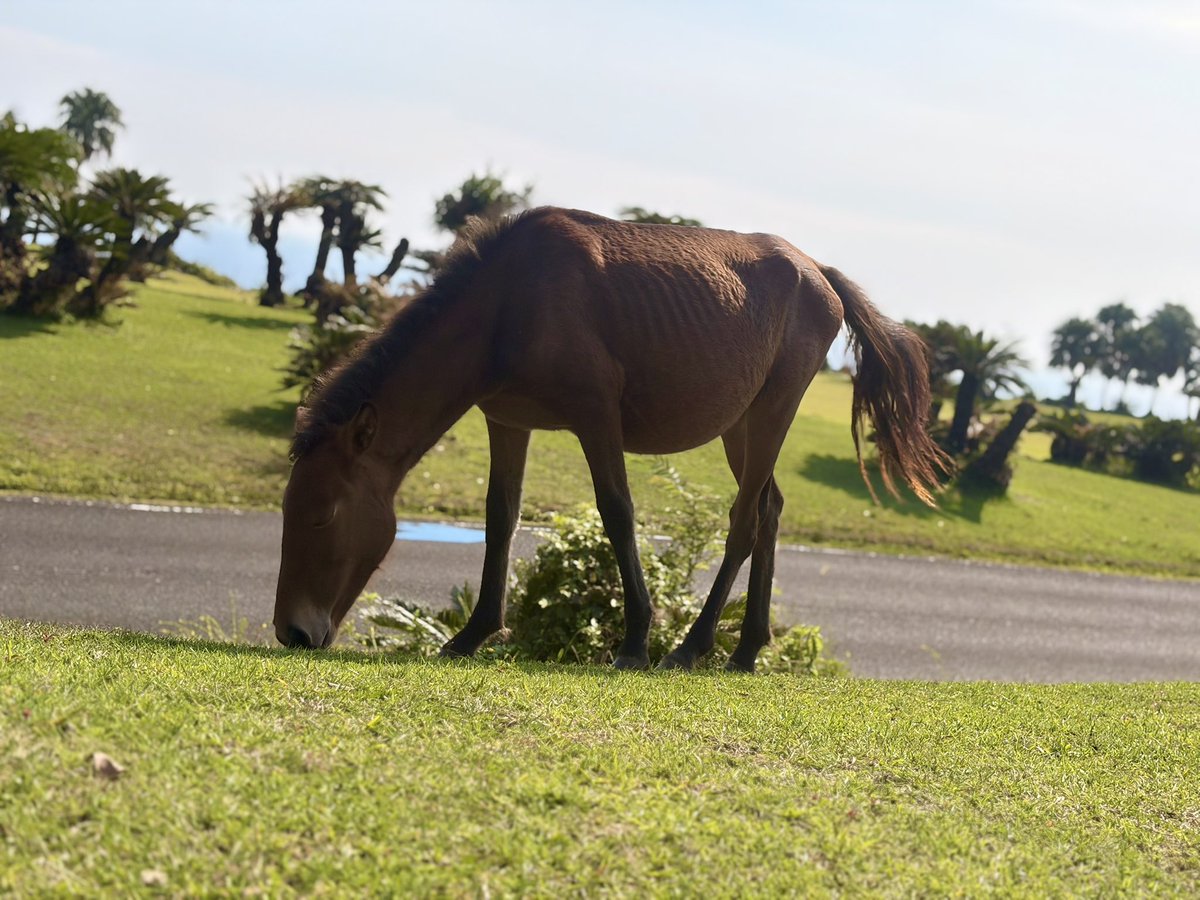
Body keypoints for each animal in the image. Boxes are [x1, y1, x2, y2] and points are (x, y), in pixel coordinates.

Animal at [273, 207, 948, 671]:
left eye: (322, 515)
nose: (293, 632)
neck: (507, 304)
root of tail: (818, 271)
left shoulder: (597, 418)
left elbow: (617, 513)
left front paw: (635, 639)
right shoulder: (508, 420)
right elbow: (501, 516)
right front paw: (472, 634)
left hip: (774, 407)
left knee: (745, 519)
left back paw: (692, 645)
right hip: (743, 421)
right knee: (770, 508)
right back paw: (745, 650)